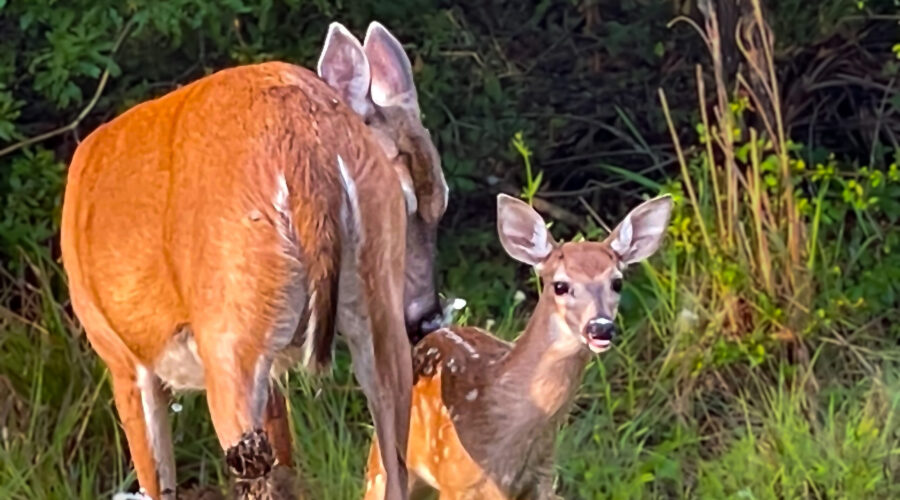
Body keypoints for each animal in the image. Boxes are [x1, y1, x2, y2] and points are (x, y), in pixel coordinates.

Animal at [60, 21, 447, 500]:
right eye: (415, 204)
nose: (428, 318)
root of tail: (303, 143)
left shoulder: (122, 357)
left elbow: (157, 480)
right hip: (375, 318)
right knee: (392, 463)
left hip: (229, 332)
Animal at [363, 193, 673, 500]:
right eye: (560, 285)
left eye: (617, 283)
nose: (600, 328)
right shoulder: (457, 479)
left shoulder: (543, 478)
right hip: (384, 460)